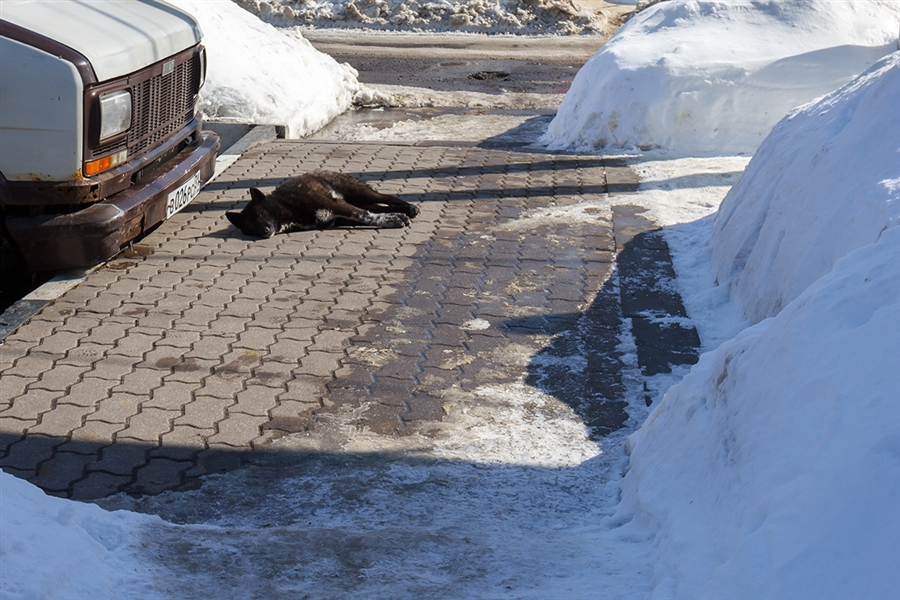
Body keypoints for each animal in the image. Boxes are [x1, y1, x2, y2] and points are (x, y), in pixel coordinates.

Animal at [229, 169, 418, 237]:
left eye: (261, 214)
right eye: (249, 226)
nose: (264, 232)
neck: (287, 208)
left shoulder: (336, 205)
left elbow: (367, 217)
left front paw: (393, 220)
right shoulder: (341, 217)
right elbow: (371, 216)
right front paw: (394, 218)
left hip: (359, 192)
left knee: (386, 197)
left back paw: (410, 207)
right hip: (361, 201)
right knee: (378, 207)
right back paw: (404, 211)